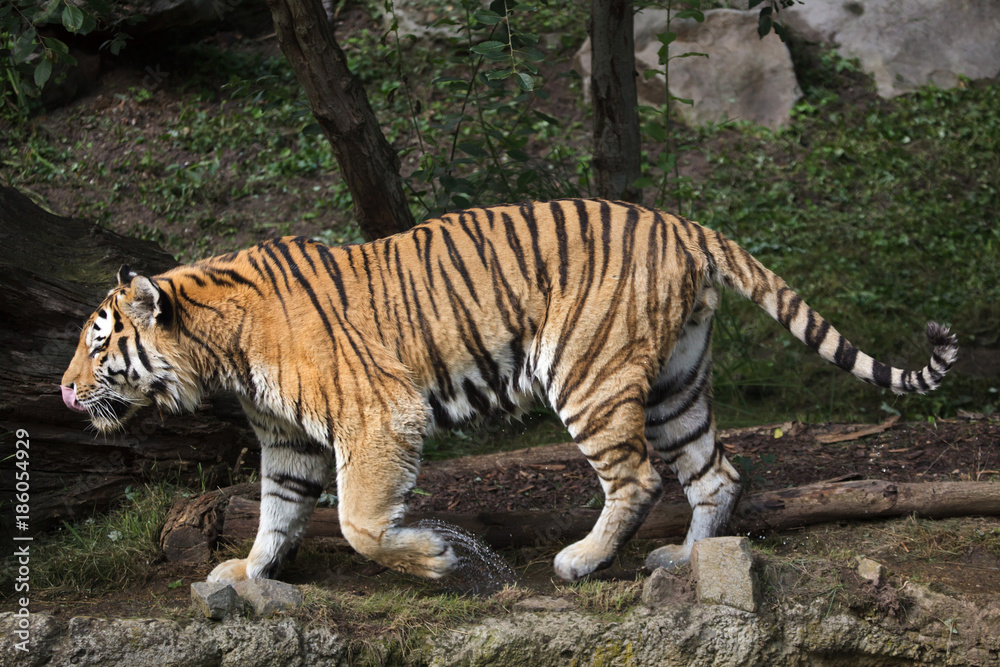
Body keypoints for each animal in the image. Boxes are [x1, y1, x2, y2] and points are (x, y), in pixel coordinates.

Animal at [60, 199, 958, 584]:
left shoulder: (378, 415)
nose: (65, 392)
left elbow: (358, 523)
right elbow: (276, 513)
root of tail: (683, 222)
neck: (219, 350)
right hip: (676, 384)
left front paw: (433, 559)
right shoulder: (287, 438)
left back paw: (582, 561)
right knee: (716, 474)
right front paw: (244, 572)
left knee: (637, 476)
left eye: (98, 343)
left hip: (589, 372)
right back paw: (687, 561)